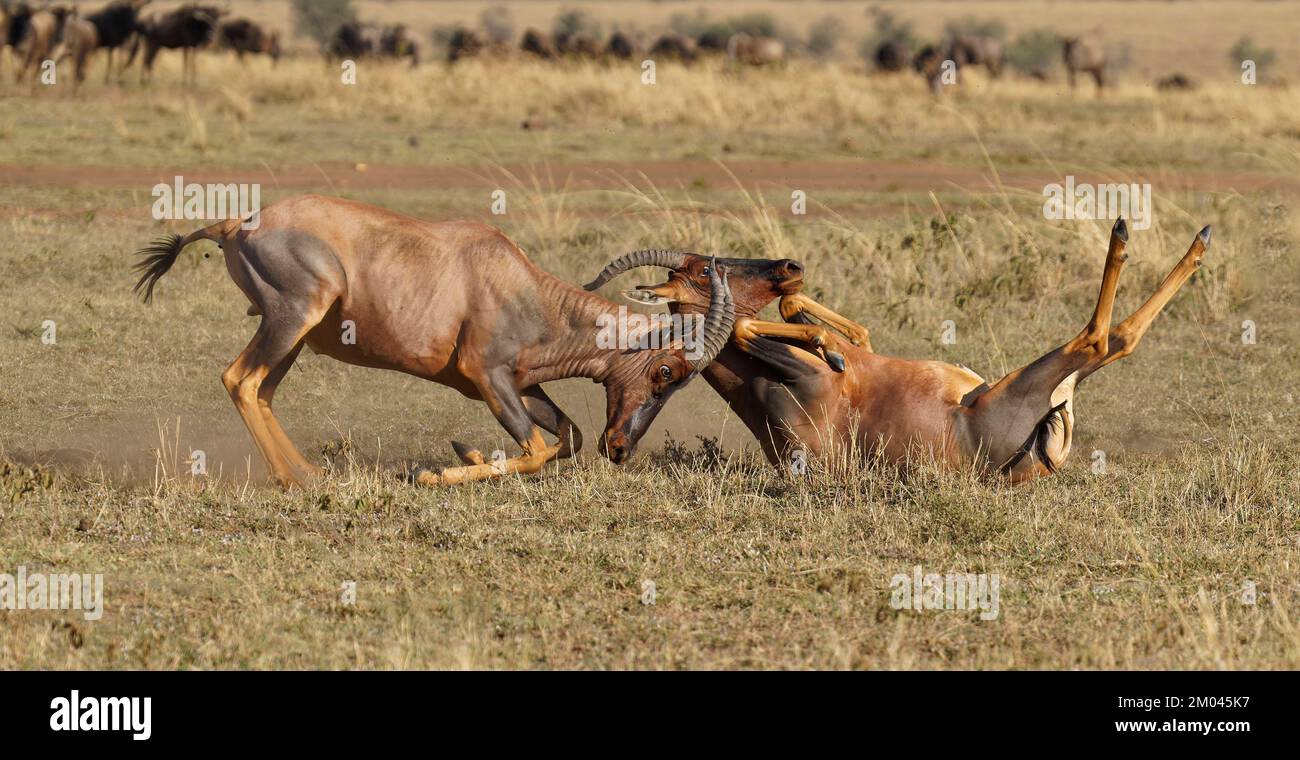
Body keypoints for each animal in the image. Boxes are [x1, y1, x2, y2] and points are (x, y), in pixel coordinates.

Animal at [138, 193, 743, 485]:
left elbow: (564, 438)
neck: (516, 282)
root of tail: (235, 225)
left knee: (261, 389)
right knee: (240, 379)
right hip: (291, 317)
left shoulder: (514, 384)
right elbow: (536, 451)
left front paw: (458, 453)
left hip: (293, 334)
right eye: (666, 370)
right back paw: (295, 480)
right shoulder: (486, 377)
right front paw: (430, 471)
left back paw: (308, 473)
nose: (620, 449)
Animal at [585, 218, 1211, 480]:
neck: (763, 396)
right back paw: (1137, 233)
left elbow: (808, 318)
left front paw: (834, 338)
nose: (788, 266)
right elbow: (742, 330)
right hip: (1024, 383)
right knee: (1105, 339)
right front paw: (827, 346)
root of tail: (1030, 461)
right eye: (700, 270)